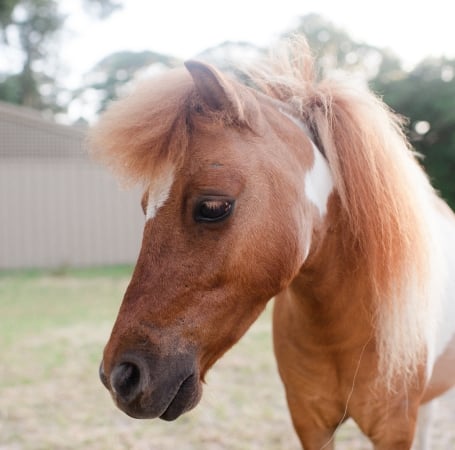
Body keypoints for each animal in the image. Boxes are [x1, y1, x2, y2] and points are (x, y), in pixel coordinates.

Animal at [90, 39, 455, 450]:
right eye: (144, 207)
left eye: (213, 207)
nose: (119, 376)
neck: (341, 329)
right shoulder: (310, 422)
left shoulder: (393, 427)